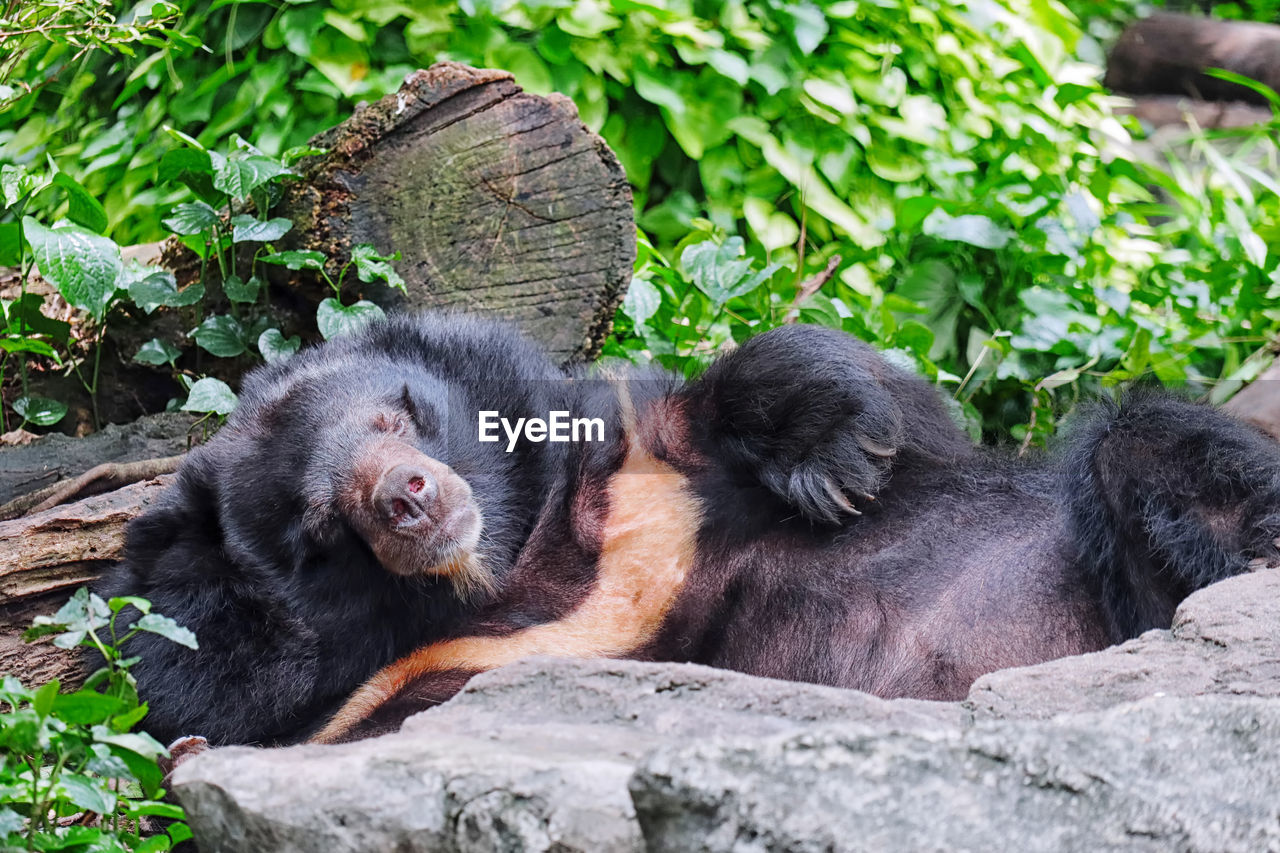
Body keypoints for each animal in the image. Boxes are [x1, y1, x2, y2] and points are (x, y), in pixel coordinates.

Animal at [94, 312, 1280, 742]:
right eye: (316, 523)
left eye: (397, 413)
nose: (411, 498)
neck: (525, 562)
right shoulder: (386, 691)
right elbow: (186, 679)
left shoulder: (646, 474)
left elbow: (885, 412)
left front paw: (839, 453)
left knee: (1149, 450)